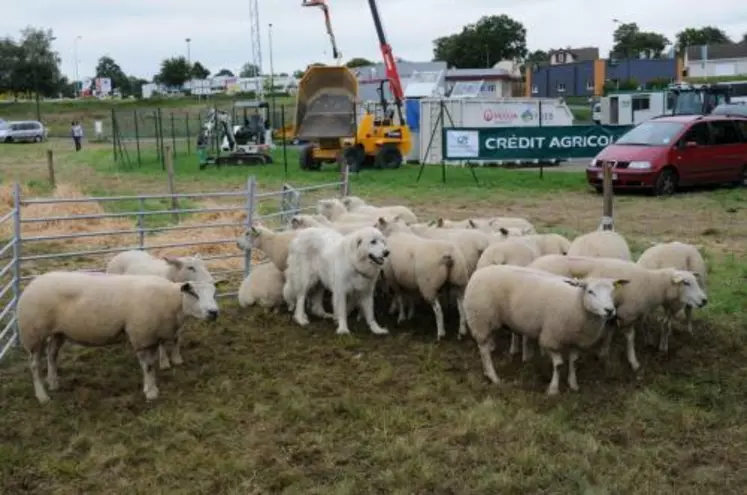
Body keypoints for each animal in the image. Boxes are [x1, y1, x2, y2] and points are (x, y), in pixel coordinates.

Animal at [17, 274, 221, 404]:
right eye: (193, 293)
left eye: (214, 293)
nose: (214, 312)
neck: (172, 301)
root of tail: (31, 284)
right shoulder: (141, 335)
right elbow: (148, 366)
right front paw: (151, 392)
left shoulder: (152, 337)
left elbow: (152, 364)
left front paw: (150, 387)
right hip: (33, 333)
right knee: (34, 365)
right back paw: (42, 396)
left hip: (59, 331)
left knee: (52, 355)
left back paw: (53, 383)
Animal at [464, 266, 628, 398]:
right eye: (590, 291)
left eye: (612, 292)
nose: (609, 310)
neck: (577, 304)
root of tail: (478, 272)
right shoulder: (550, 338)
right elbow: (559, 364)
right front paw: (553, 390)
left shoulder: (576, 340)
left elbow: (573, 361)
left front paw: (573, 384)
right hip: (481, 319)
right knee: (484, 350)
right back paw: (493, 376)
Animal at [524, 256, 708, 372]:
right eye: (686, 282)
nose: (705, 300)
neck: (651, 285)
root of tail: (533, 263)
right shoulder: (628, 313)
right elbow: (630, 338)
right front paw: (634, 362)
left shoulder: (614, 311)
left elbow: (609, 332)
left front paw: (603, 354)